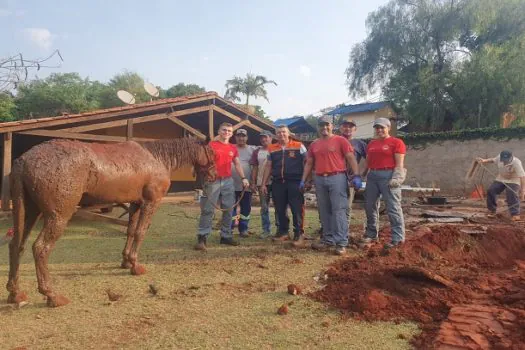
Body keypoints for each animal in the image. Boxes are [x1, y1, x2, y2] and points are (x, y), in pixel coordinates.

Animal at [6, 137, 215, 306]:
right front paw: (135, 266)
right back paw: (52, 295)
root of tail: (23, 162)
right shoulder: (151, 202)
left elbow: (130, 231)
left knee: (16, 245)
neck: (157, 158)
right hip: (58, 215)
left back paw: (15, 293)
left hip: (30, 213)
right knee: (40, 249)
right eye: (212, 152)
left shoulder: (135, 203)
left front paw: (126, 261)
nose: (213, 175)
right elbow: (140, 232)